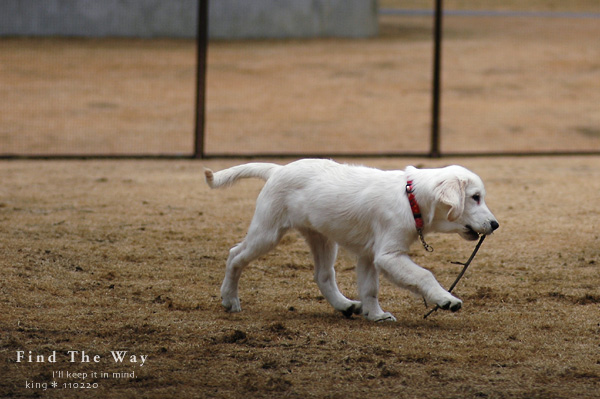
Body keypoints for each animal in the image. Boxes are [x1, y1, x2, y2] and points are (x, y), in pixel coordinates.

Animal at [205, 159, 496, 322]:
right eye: (475, 197)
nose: (495, 225)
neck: (410, 198)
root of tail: (278, 169)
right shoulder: (388, 255)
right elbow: (424, 275)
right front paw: (446, 299)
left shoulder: (369, 255)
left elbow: (369, 289)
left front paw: (376, 315)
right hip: (267, 232)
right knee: (235, 255)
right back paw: (229, 299)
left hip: (322, 238)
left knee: (323, 275)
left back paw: (344, 305)